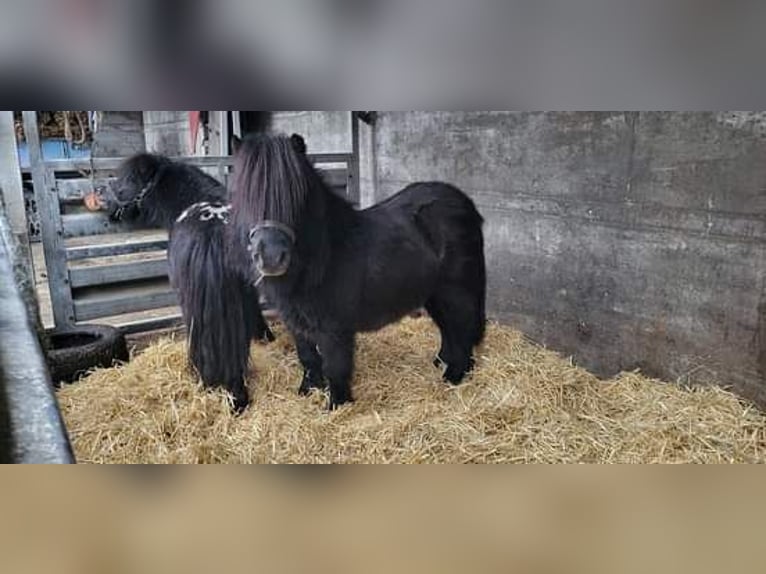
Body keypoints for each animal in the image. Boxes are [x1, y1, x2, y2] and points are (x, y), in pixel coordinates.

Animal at [231, 134, 488, 414]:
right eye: (246, 194)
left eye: (295, 196)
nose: (271, 258)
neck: (325, 253)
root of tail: (465, 204)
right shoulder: (295, 322)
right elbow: (308, 358)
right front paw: (308, 391)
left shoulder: (334, 328)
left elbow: (335, 366)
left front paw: (336, 406)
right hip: (435, 293)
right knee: (449, 328)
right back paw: (442, 363)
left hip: (456, 289)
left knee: (462, 328)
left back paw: (454, 377)